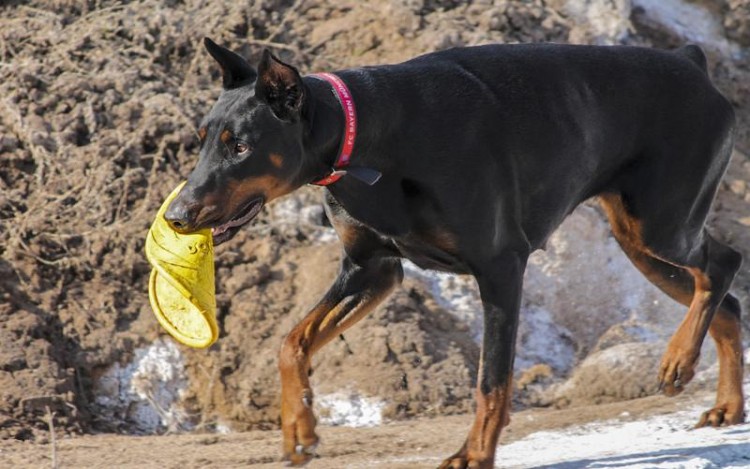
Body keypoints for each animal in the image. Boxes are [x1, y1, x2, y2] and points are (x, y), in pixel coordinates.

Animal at [164, 38, 748, 466]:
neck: (368, 139)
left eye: (241, 146)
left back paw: (678, 359)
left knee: (722, 265)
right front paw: (299, 431)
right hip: (639, 240)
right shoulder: (372, 269)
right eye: (203, 139)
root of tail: (692, 63)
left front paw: (475, 455)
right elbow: (293, 342)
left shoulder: (502, 267)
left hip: (662, 224)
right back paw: (725, 405)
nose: (177, 215)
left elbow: (491, 382)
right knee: (725, 300)